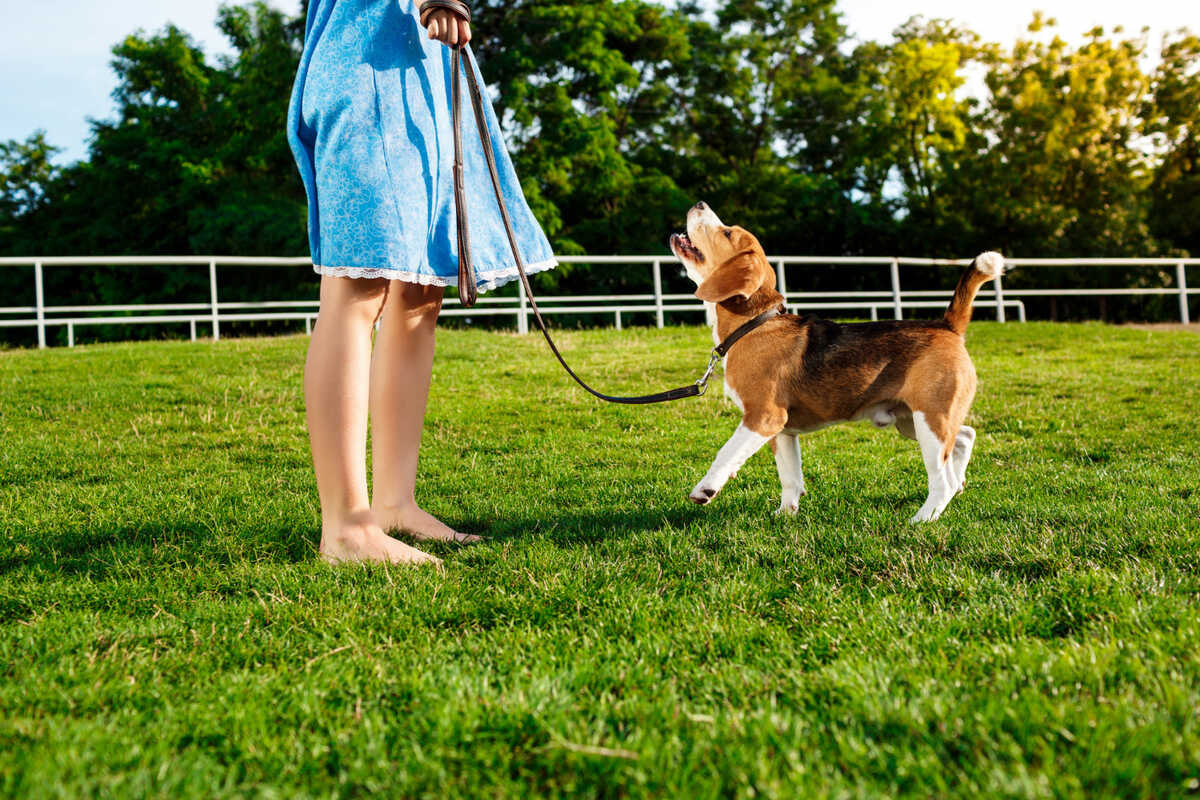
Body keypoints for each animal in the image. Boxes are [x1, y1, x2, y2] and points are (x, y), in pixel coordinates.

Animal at [667, 203, 1003, 522]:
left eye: (726, 233)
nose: (699, 203)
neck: (755, 324)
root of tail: (947, 326)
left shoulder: (763, 417)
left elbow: (726, 453)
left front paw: (705, 489)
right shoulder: (782, 430)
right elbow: (790, 477)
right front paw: (786, 514)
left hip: (929, 419)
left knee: (941, 480)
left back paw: (922, 519)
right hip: (913, 420)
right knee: (965, 437)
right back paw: (958, 483)